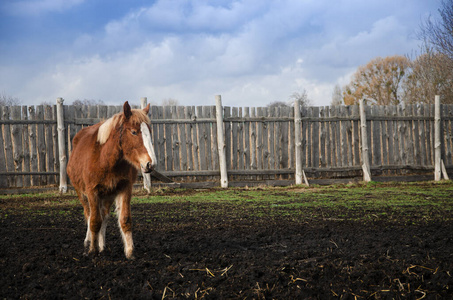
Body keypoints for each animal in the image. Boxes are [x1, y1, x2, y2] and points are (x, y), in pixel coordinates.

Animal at [66, 102, 156, 258]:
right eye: (134, 132)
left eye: (149, 132)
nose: (150, 164)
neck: (104, 158)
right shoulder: (92, 191)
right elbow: (94, 221)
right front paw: (92, 250)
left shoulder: (125, 188)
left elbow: (124, 219)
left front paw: (129, 251)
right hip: (81, 193)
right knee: (89, 215)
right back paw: (89, 242)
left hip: (107, 195)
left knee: (104, 216)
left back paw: (101, 245)